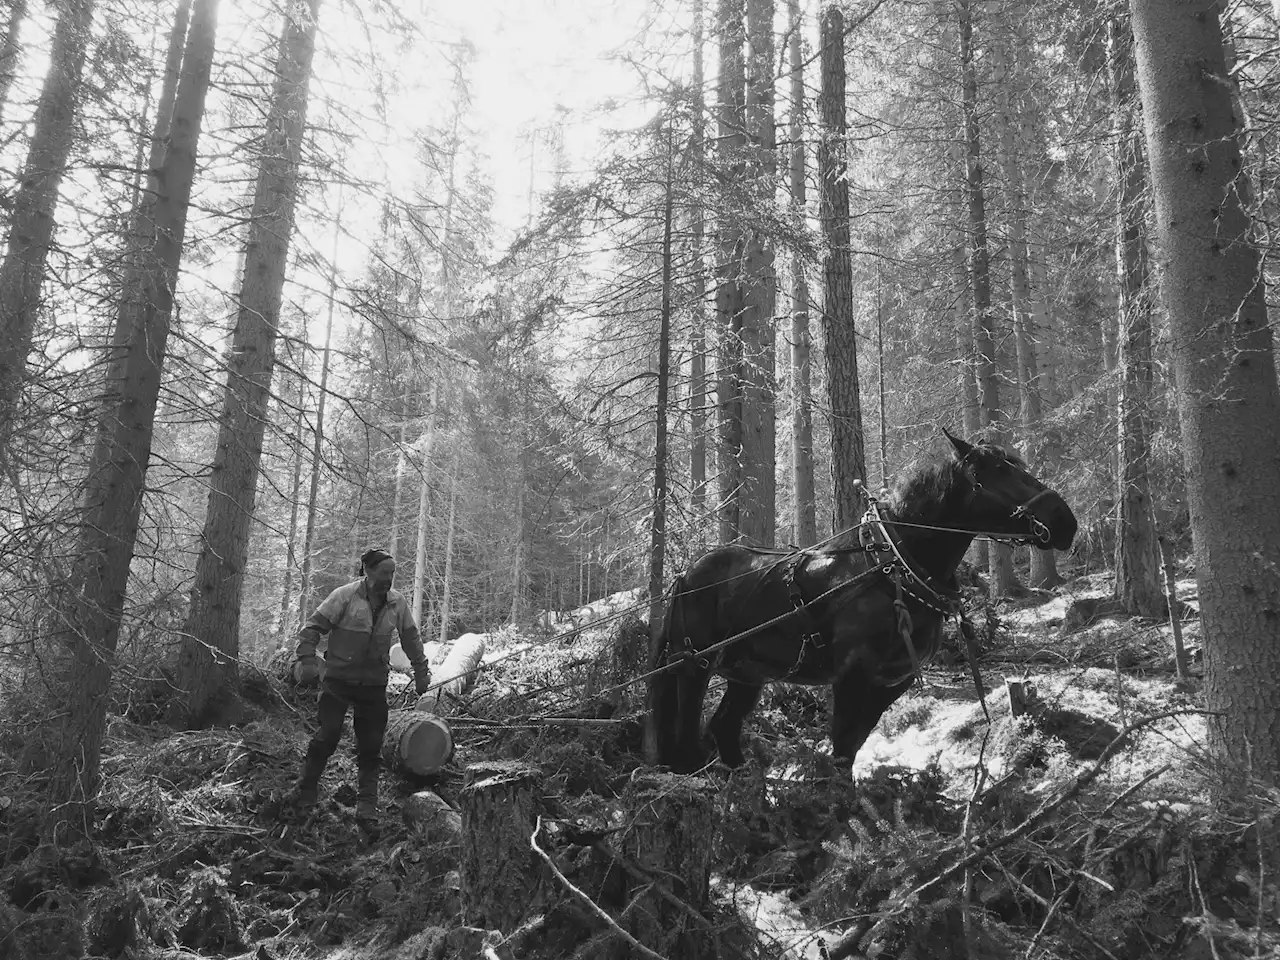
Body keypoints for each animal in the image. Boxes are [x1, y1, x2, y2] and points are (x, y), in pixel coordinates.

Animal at [650, 432, 1080, 778]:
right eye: (998, 473)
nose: (1065, 521)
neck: (891, 568)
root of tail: (686, 574)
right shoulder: (852, 674)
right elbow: (842, 746)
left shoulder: (892, 681)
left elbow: (853, 746)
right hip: (694, 665)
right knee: (687, 734)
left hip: (747, 674)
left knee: (723, 727)